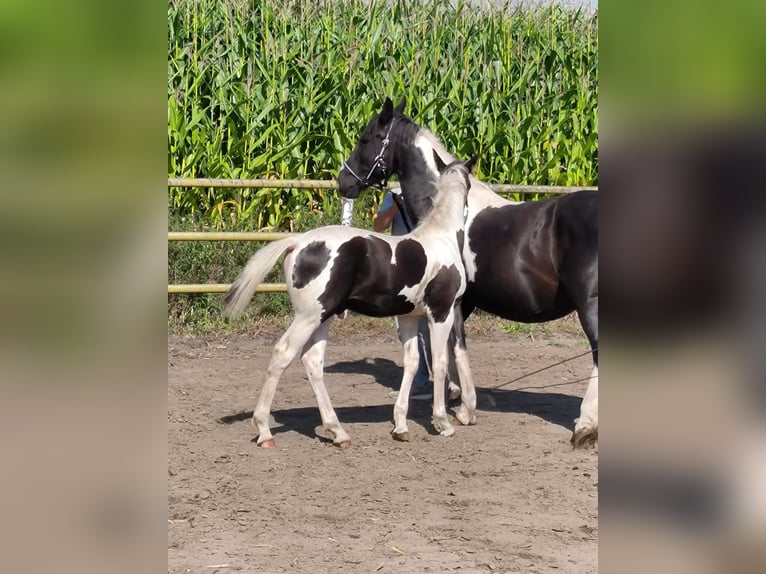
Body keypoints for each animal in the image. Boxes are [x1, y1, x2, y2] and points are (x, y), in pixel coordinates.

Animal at [222, 154, 476, 450]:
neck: (441, 237)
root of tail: (296, 242)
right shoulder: (441, 312)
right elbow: (440, 363)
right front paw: (443, 423)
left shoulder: (409, 317)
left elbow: (412, 362)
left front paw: (401, 426)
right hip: (308, 316)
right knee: (282, 354)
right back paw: (264, 431)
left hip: (324, 316)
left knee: (312, 361)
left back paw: (337, 432)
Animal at [340, 99, 600, 450]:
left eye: (366, 139)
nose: (343, 181)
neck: (448, 214)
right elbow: (452, 349)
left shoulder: (455, 302)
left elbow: (455, 347)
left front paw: (463, 409)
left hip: (590, 305)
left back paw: (585, 426)